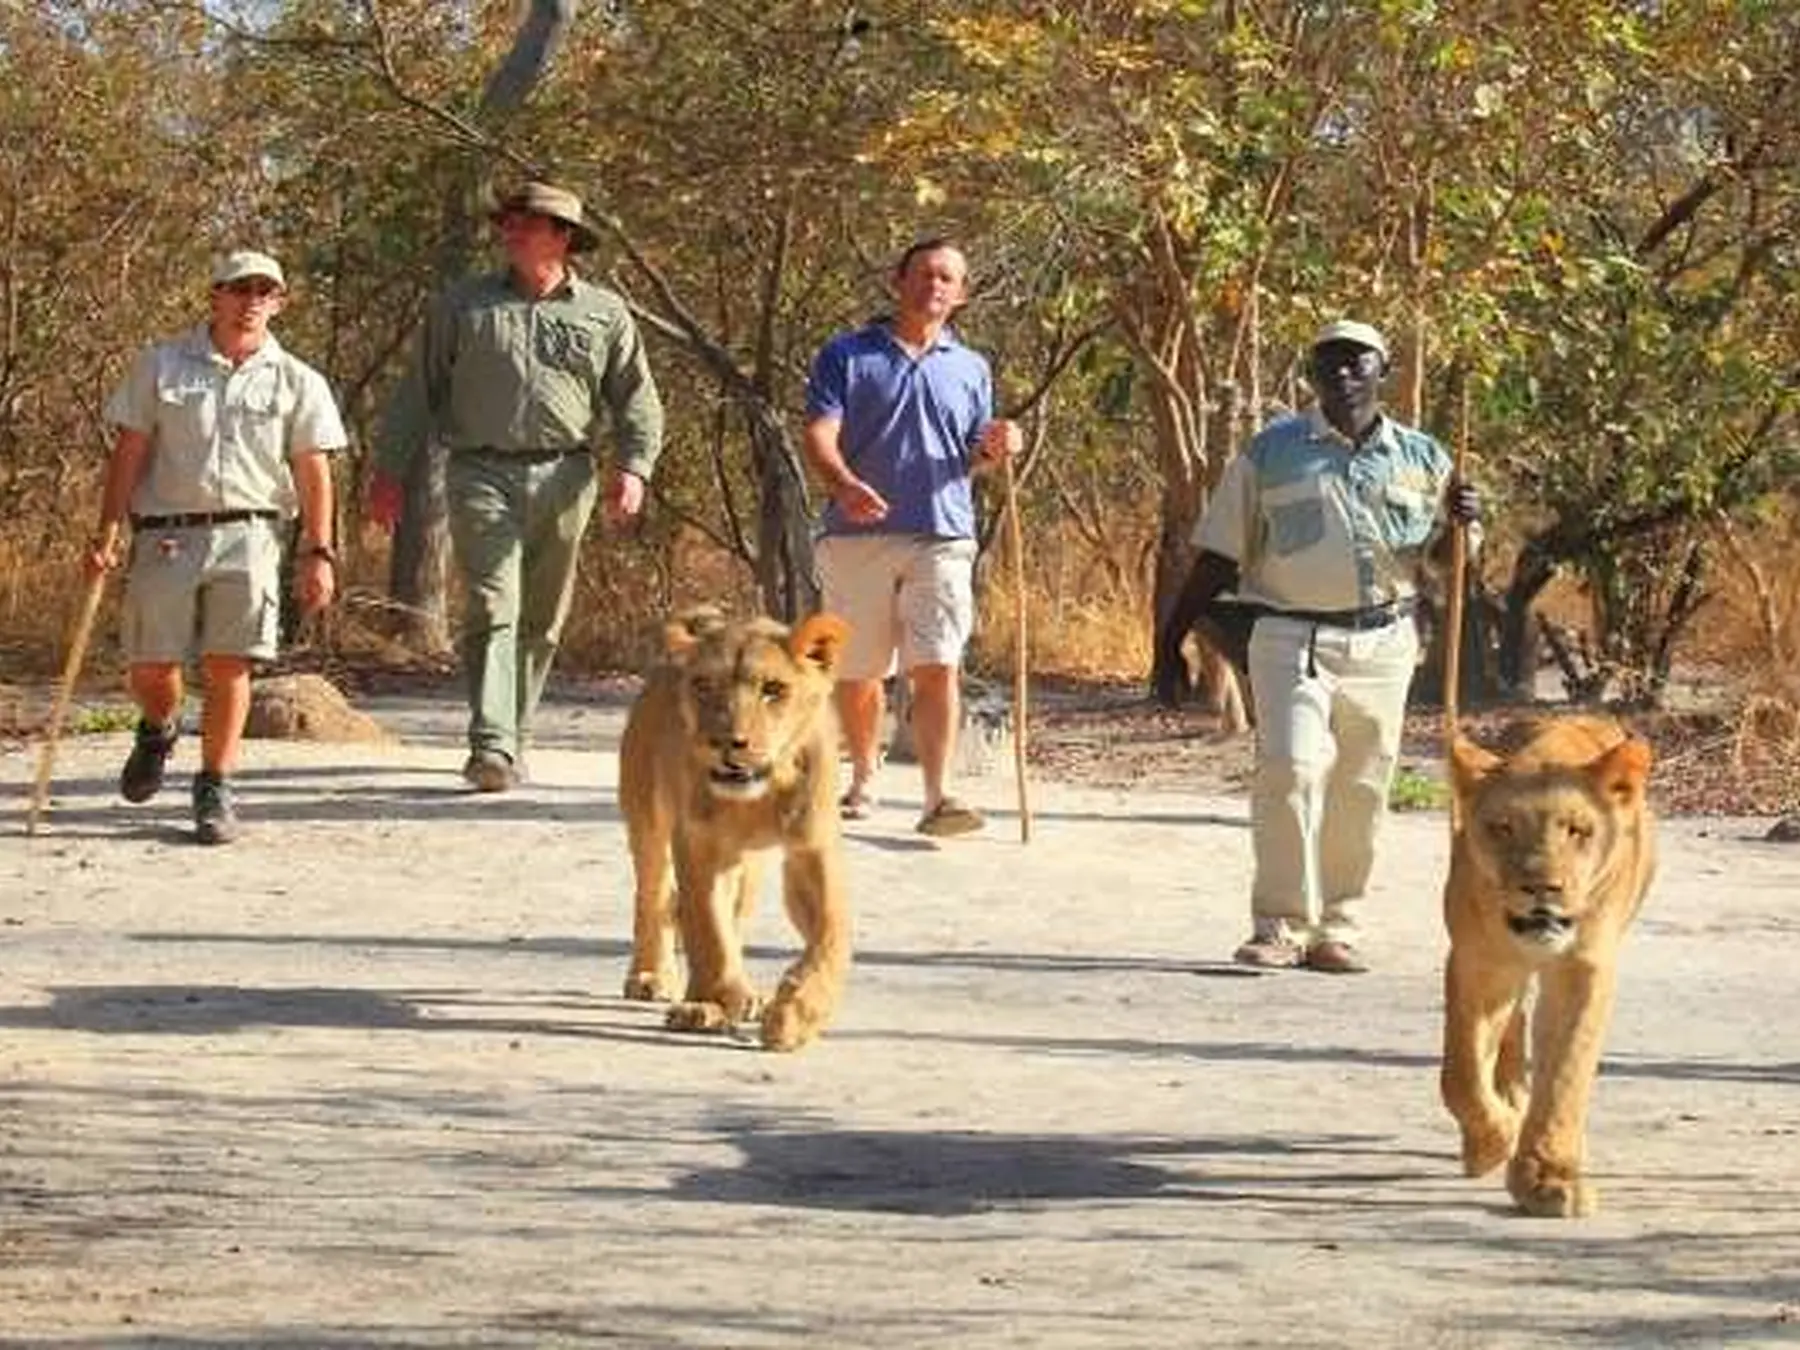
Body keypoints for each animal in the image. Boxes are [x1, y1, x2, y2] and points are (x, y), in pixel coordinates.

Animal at [618, 606, 852, 1053]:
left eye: (773, 688)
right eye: (704, 685)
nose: (726, 742)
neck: (762, 793)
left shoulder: (811, 847)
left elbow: (831, 931)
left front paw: (796, 1015)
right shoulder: (698, 845)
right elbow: (709, 928)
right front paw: (713, 1003)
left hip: (750, 864)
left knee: (729, 913)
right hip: (647, 821)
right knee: (654, 898)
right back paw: (658, 980)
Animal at [1440, 715, 1657, 1218]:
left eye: (1578, 830)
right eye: (1502, 828)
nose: (1543, 887)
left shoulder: (1583, 968)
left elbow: (1565, 1072)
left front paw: (1547, 1178)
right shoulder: (1480, 963)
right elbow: (1461, 1076)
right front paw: (1491, 1143)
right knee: (1511, 1027)